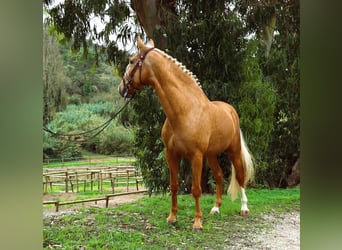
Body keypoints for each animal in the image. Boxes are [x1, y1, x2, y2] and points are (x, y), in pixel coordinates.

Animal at [118, 37, 254, 230]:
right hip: (211, 155)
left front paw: (197, 222)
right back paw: (216, 208)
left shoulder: (196, 156)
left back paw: (244, 208)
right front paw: (172, 217)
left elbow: (196, 189)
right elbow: (174, 186)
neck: (184, 111)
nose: (121, 88)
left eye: (131, 61)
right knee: (219, 176)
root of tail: (230, 110)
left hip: (233, 150)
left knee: (241, 176)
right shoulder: (171, 154)